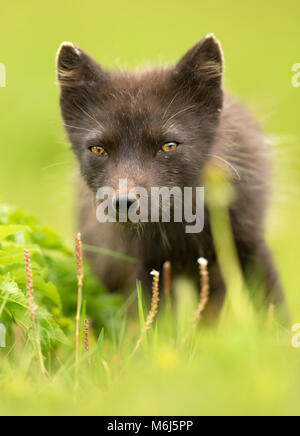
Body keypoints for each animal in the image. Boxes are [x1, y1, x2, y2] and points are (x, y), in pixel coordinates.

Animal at [55, 35, 288, 324]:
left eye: (168, 146)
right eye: (98, 149)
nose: (123, 203)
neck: (181, 228)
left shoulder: (250, 244)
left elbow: (275, 310)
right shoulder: (146, 266)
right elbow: (157, 325)